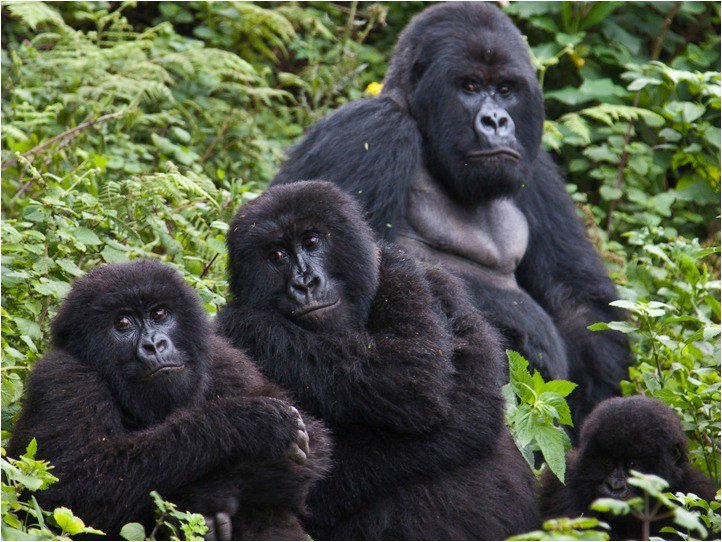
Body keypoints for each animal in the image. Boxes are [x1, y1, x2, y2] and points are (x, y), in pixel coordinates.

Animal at [7, 262, 330, 540]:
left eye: (160, 314)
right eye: (122, 322)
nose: (154, 345)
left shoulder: (226, 359)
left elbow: (310, 450)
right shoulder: (63, 378)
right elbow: (75, 489)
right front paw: (250, 423)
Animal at [217, 182, 536, 540]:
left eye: (312, 242)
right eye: (277, 256)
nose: (304, 283)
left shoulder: (408, 274)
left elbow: (420, 378)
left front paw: (249, 325)